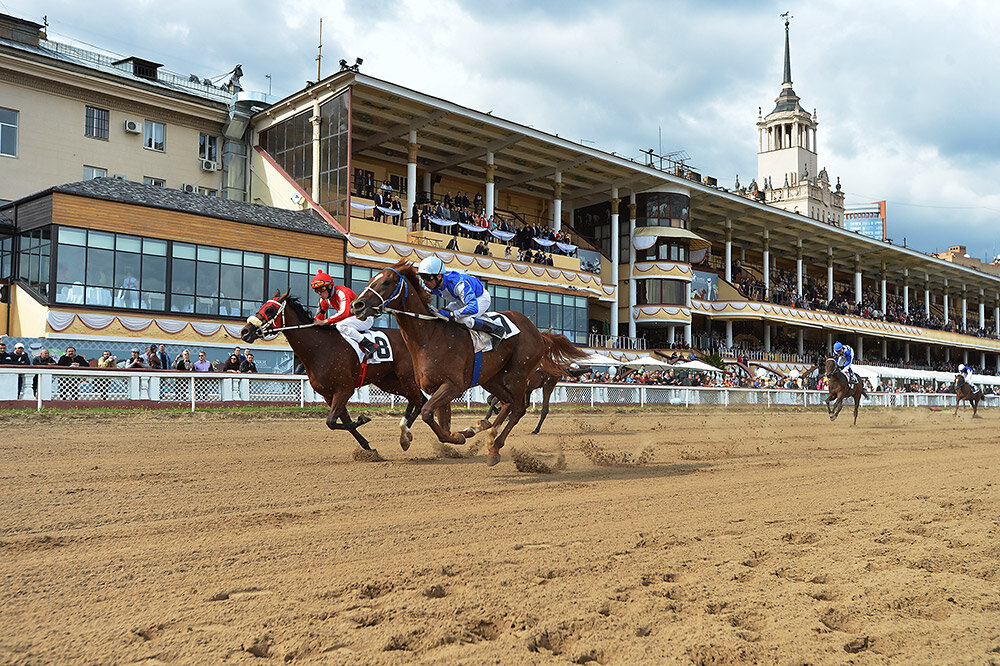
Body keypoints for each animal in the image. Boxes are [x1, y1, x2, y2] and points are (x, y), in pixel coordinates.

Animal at [244, 290, 428, 452]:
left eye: (269, 309)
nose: (245, 331)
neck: (319, 347)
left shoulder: (344, 389)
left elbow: (332, 422)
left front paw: (363, 419)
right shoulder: (329, 394)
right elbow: (342, 422)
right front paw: (367, 447)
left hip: (406, 376)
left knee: (420, 400)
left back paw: (406, 436)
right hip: (389, 381)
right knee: (417, 399)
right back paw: (405, 432)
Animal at [352, 258, 584, 462]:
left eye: (387, 282)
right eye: (372, 278)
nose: (357, 305)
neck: (430, 336)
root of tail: (538, 333)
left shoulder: (454, 385)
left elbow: (427, 414)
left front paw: (458, 436)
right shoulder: (436, 388)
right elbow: (440, 422)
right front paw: (464, 432)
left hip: (518, 374)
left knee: (518, 408)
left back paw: (495, 447)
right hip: (491, 378)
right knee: (507, 403)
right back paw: (485, 430)